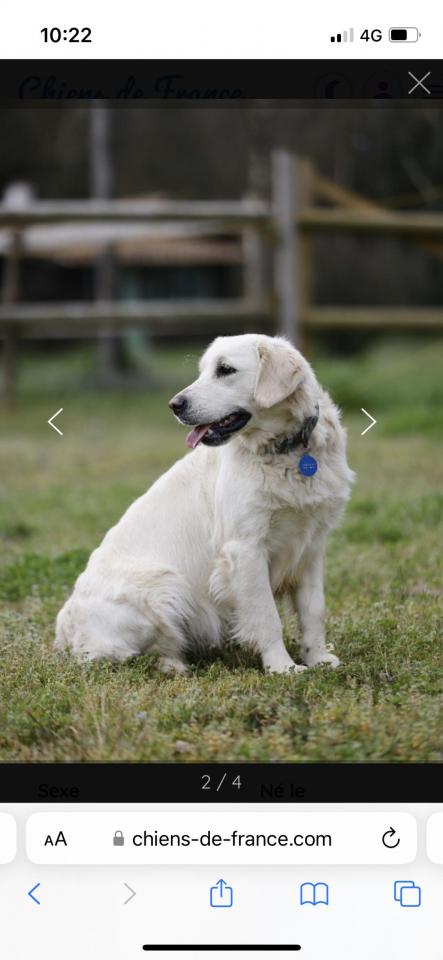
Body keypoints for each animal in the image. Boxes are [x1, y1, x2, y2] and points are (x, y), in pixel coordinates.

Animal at [55, 338, 356, 676]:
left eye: (225, 370)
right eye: (202, 371)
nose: (175, 404)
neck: (287, 450)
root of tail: (65, 624)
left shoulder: (311, 547)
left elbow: (314, 611)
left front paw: (318, 658)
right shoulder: (245, 549)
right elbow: (267, 618)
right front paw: (282, 668)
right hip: (166, 585)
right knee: (121, 655)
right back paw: (172, 665)